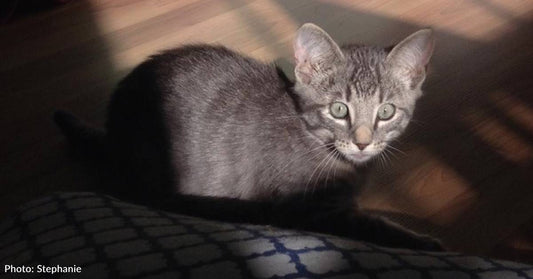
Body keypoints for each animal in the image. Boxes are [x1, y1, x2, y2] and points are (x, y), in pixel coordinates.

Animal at [53, 23, 440, 252]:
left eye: (386, 112)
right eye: (338, 109)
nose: (362, 142)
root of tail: (113, 131)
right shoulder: (306, 210)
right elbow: (370, 226)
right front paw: (427, 243)